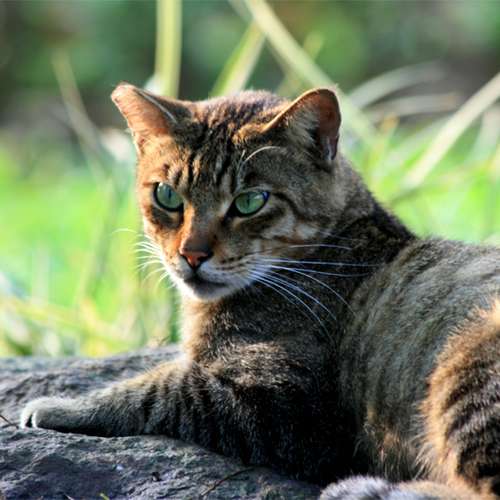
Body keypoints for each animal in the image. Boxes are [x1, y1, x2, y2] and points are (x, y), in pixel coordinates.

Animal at [21, 83, 499, 499]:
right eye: (167, 195)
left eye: (250, 202)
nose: (191, 254)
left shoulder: (283, 402)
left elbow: (156, 389)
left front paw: (63, 406)